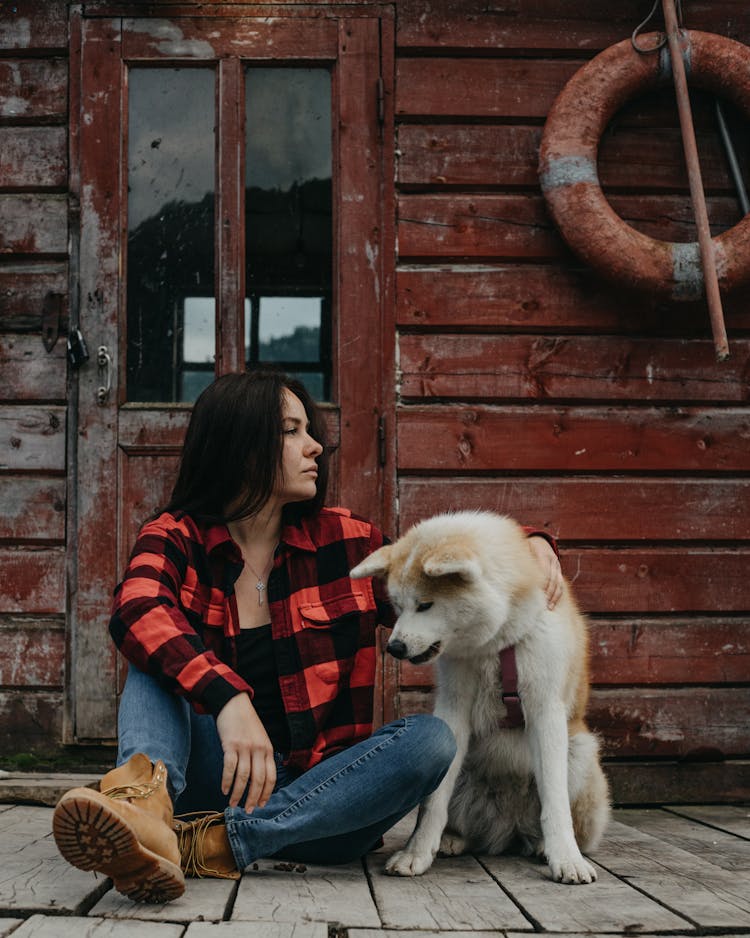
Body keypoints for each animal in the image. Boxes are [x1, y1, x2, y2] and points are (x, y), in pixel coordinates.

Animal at [352, 512, 612, 884]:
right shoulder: (453, 711)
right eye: (398, 606)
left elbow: (555, 803)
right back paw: (452, 840)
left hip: (580, 752)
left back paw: (542, 845)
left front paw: (566, 858)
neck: (498, 643)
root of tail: (509, 828)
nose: (395, 648)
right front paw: (416, 853)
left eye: (425, 605)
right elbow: (433, 803)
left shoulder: (545, 710)